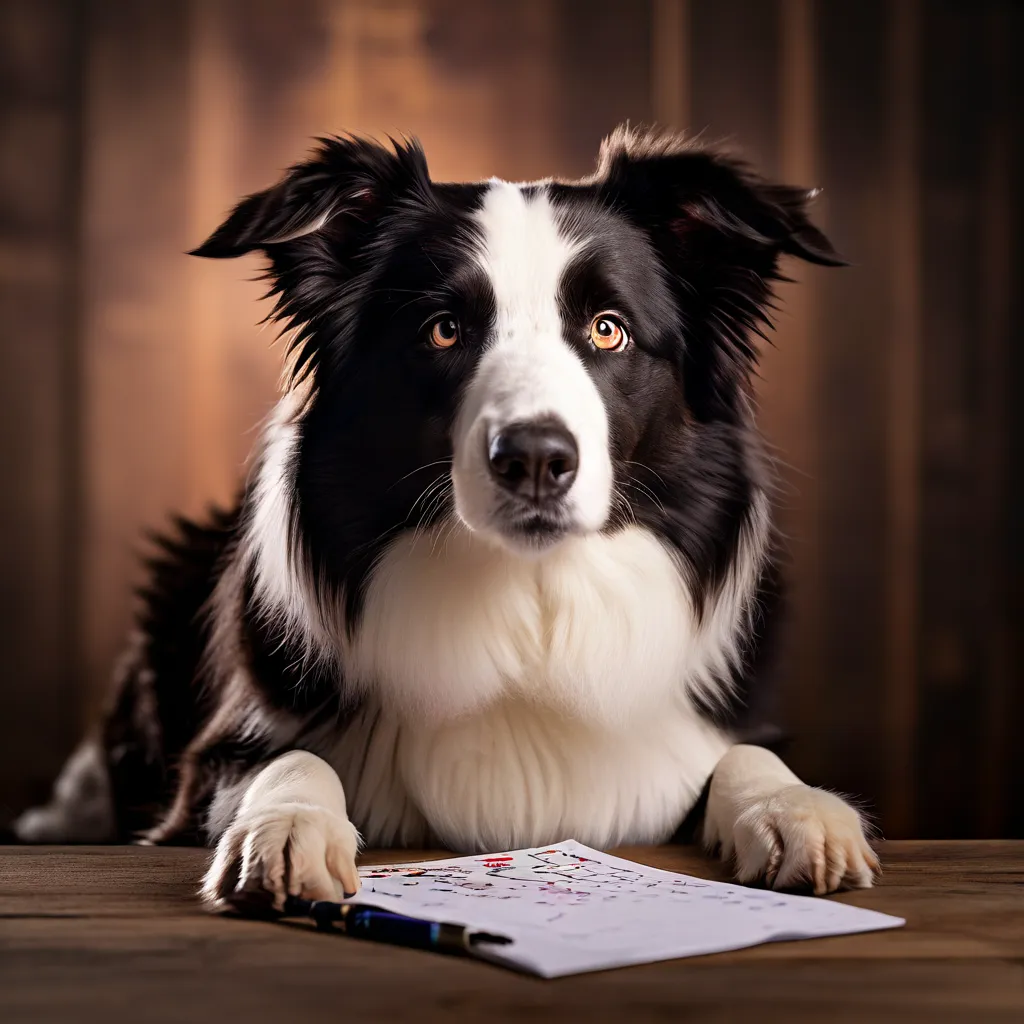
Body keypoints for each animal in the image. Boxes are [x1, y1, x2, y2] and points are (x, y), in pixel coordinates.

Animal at [16, 128, 876, 905]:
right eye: (444, 329)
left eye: (608, 329)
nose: (534, 458)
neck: (529, 603)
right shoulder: (218, 756)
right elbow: (289, 760)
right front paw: (286, 828)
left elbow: (743, 758)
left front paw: (797, 810)